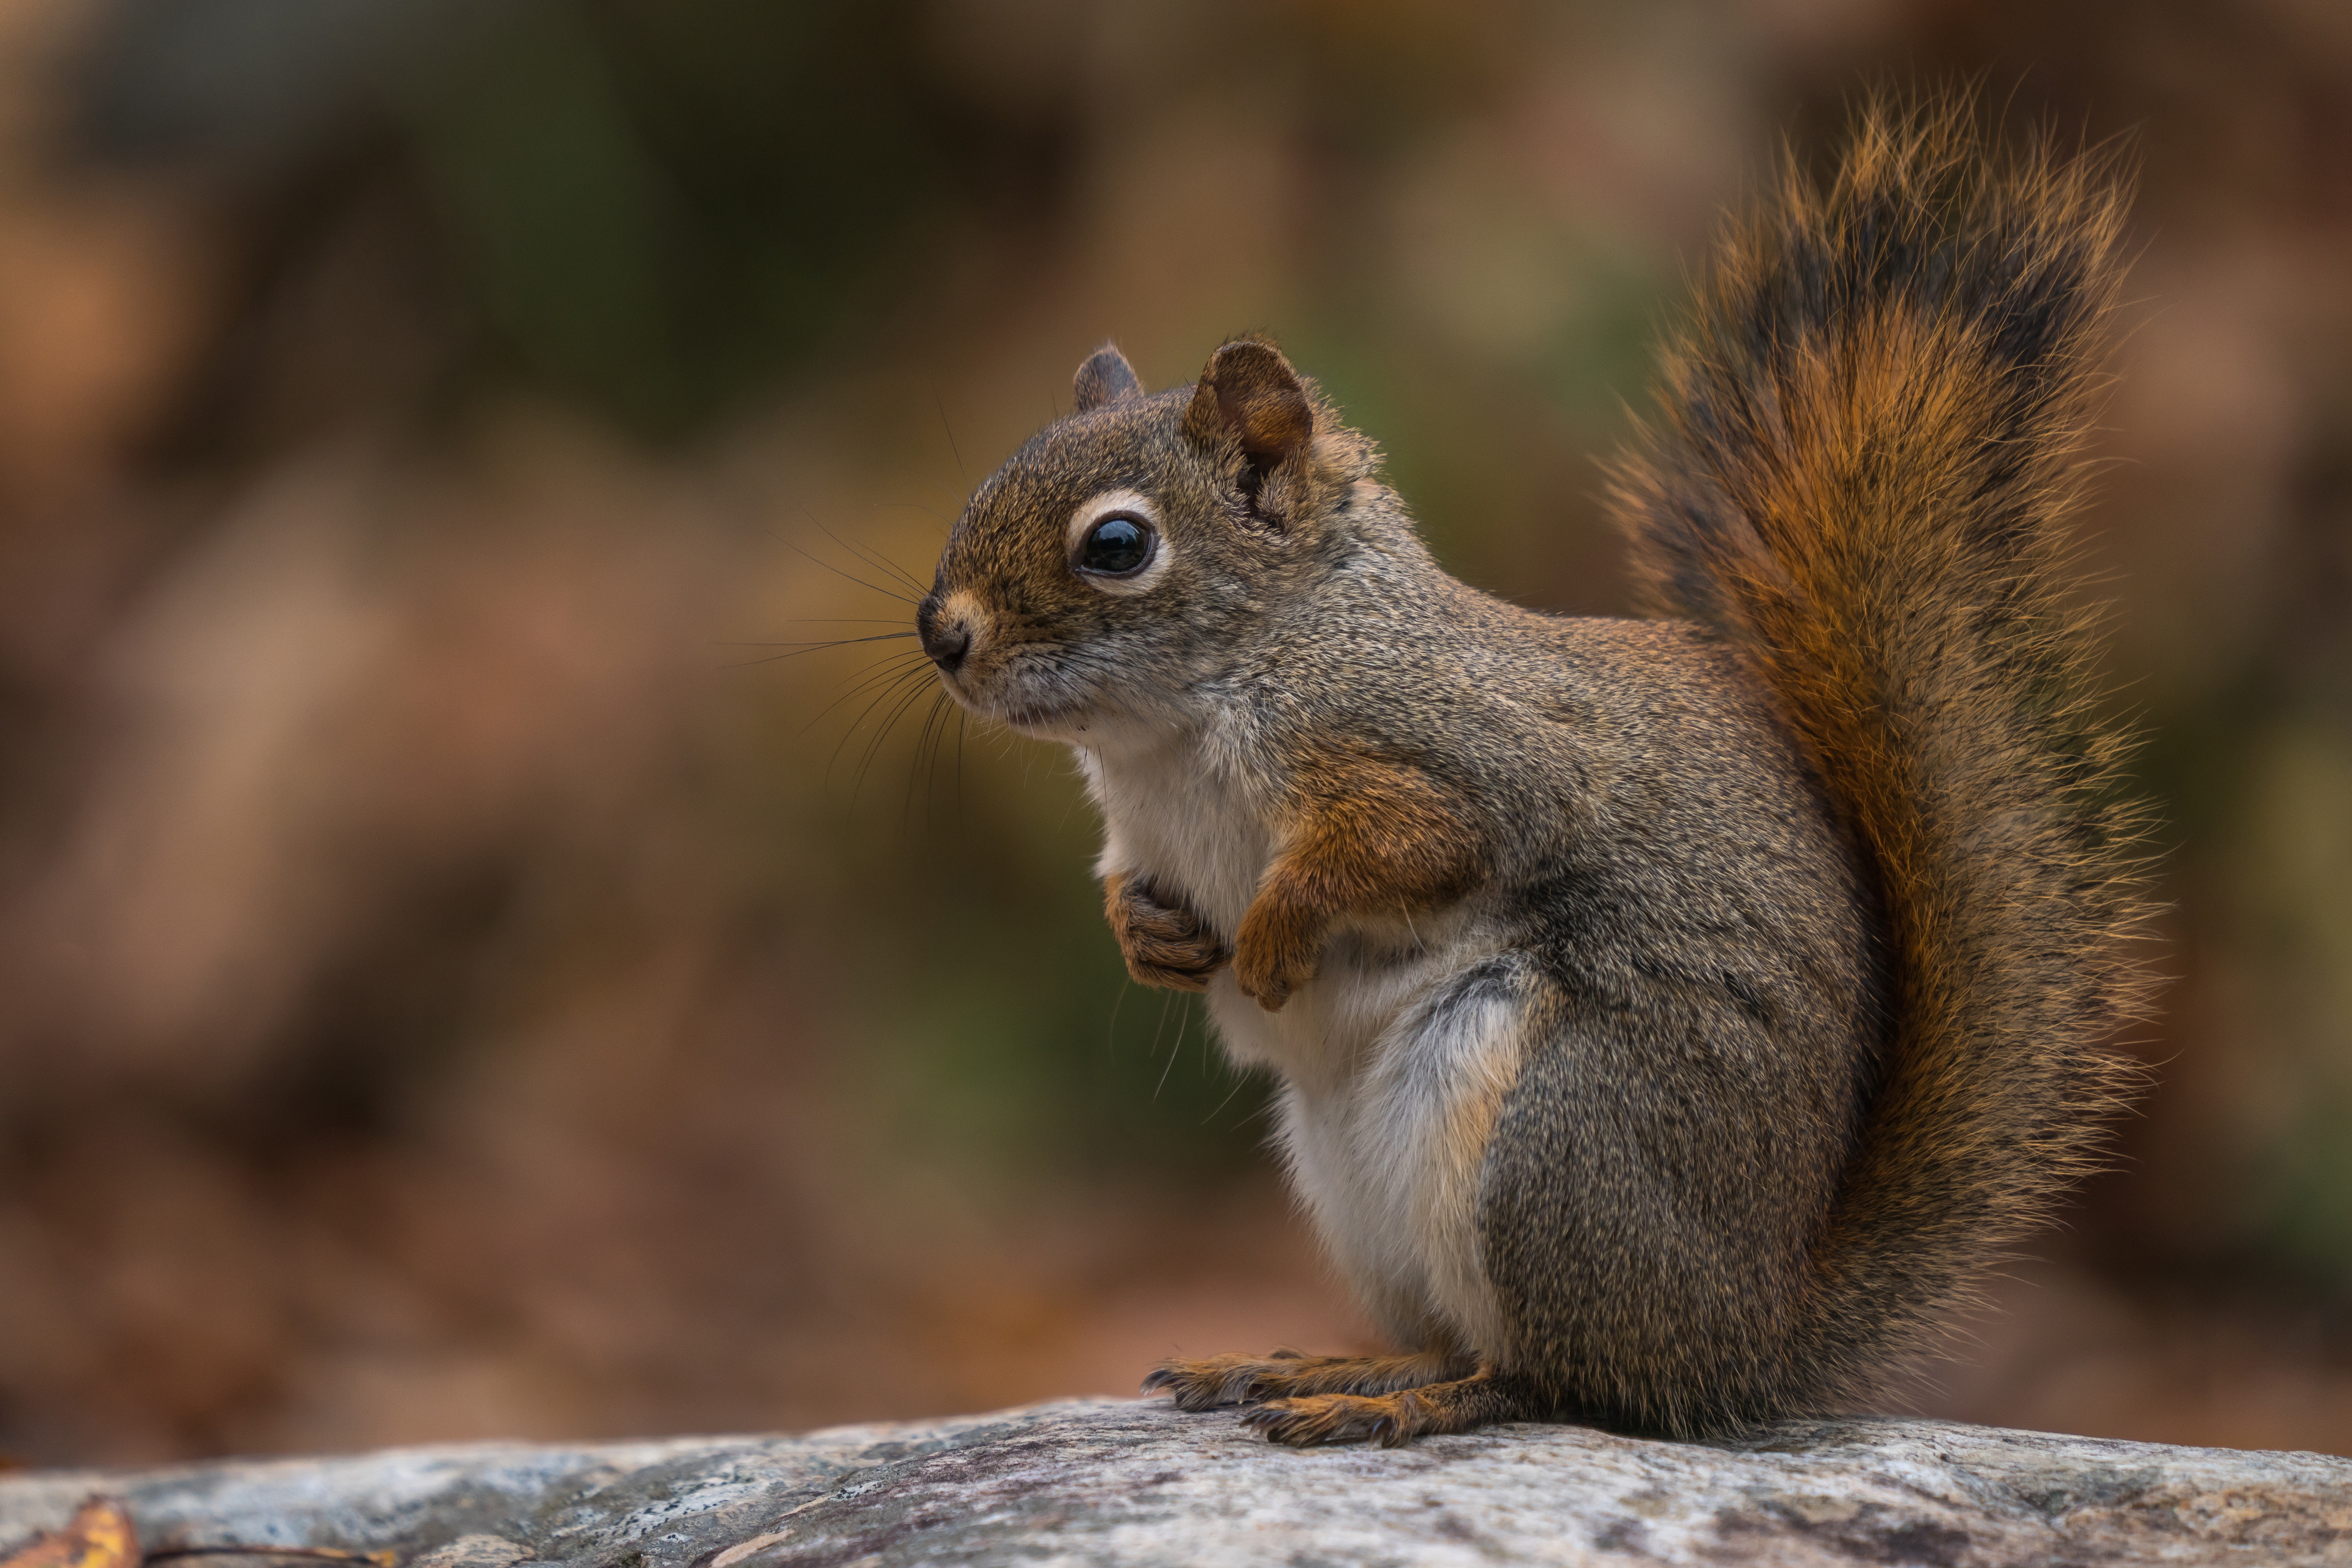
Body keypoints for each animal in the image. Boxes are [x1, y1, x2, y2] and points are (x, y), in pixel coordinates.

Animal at [911, 97, 2151, 1446]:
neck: (1173, 731)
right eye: (997, 472)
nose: (941, 632)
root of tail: (1743, 1341)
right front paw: (1152, 943)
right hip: (1360, 1188)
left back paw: (1397, 1406)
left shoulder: (1460, 750)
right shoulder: (1141, 835)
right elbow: (1131, 892)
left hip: (1548, 1144)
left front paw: (1278, 937)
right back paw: (1324, 1367)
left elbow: (1411, 844)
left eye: (1119, 545)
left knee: (1551, 1378)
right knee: (1464, 1341)